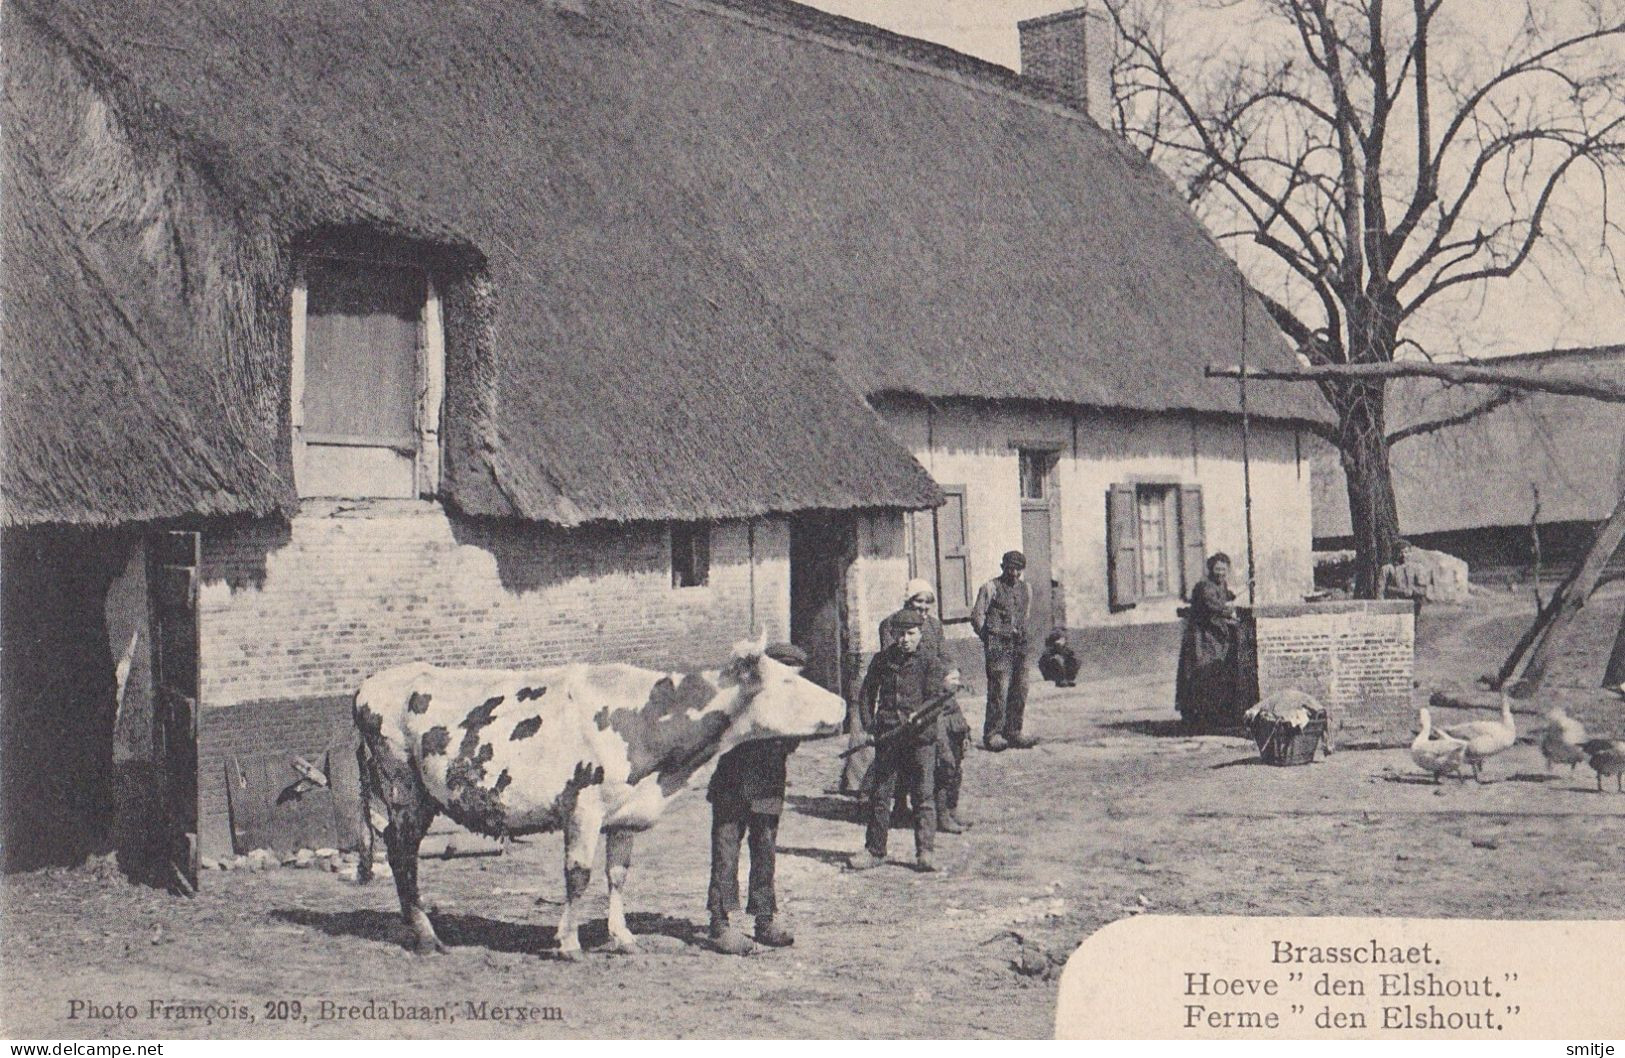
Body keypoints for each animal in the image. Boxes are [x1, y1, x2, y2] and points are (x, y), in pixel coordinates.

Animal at [351, 637, 845, 962]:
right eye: (787, 684)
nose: (842, 705)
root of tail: (368, 686)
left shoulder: (623, 815)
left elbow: (617, 875)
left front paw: (622, 937)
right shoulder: (582, 808)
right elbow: (579, 876)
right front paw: (568, 944)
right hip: (404, 791)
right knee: (401, 852)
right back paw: (426, 936)